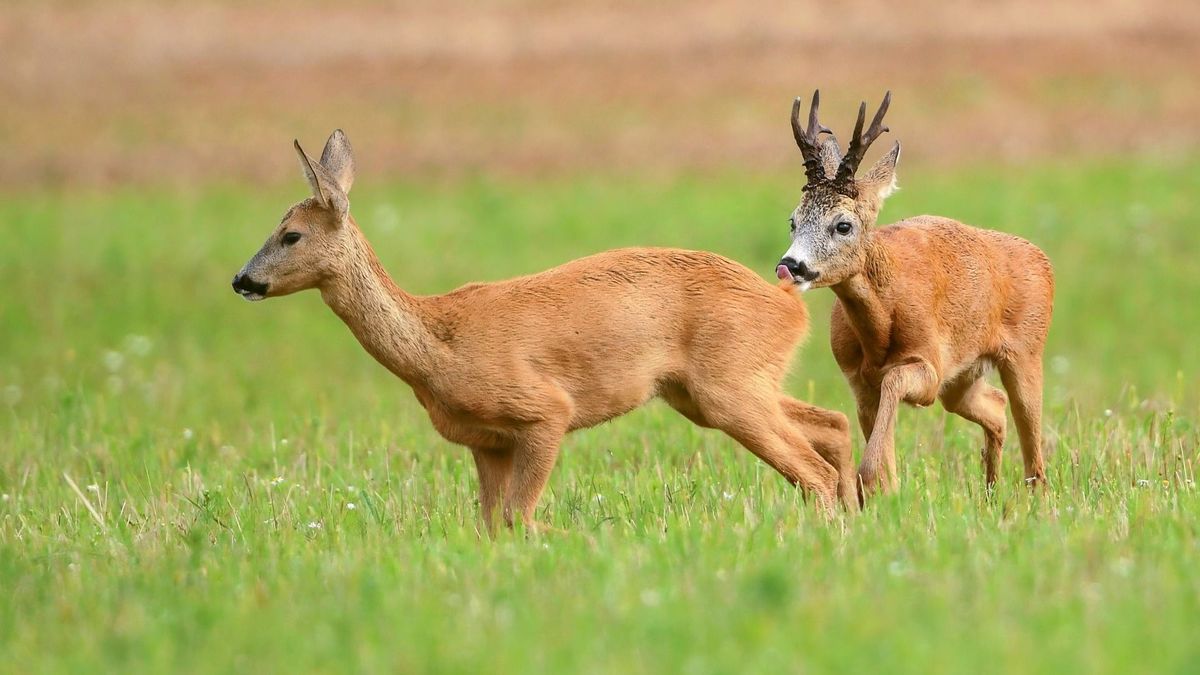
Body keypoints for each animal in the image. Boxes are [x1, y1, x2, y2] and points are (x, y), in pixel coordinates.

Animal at [229, 130, 859, 530]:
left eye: (290, 234)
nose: (242, 279)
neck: (435, 347)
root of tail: (789, 303)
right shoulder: (485, 442)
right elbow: (489, 525)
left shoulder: (543, 411)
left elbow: (518, 517)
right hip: (708, 390)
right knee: (832, 424)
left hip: (728, 385)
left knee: (813, 472)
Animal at [777, 91, 1051, 497]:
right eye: (793, 221)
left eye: (843, 225)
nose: (790, 265)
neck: (879, 328)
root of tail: (1041, 258)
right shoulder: (858, 380)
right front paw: (885, 491)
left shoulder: (928, 366)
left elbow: (894, 385)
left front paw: (870, 478)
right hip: (964, 376)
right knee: (996, 407)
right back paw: (989, 490)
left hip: (1026, 351)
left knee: (1032, 442)